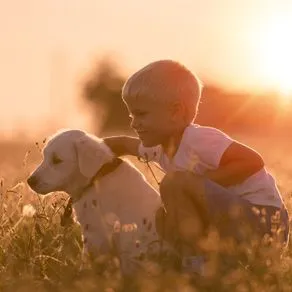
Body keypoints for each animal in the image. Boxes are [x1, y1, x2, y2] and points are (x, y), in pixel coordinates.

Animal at [26, 130, 173, 276]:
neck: (96, 178)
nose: (30, 181)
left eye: (57, 160)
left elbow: (88, 261)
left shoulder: (96, 235)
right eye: (44, 157)